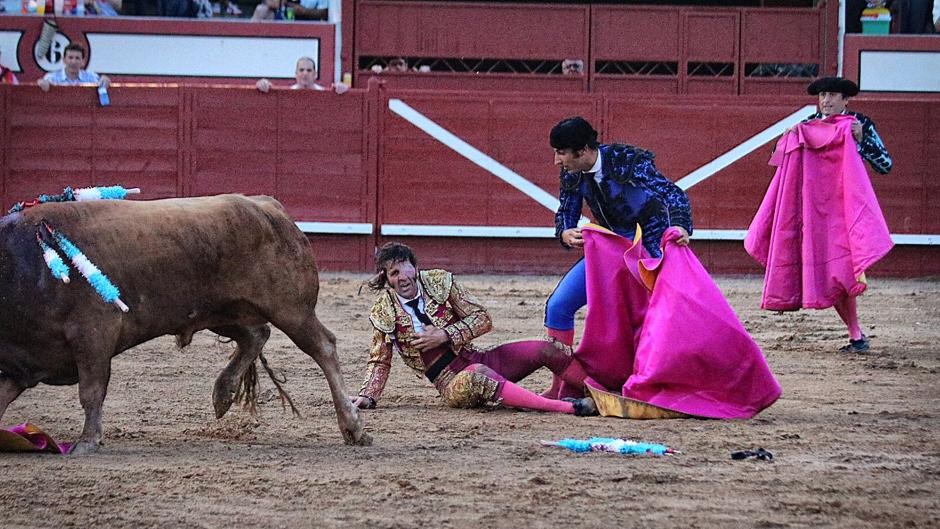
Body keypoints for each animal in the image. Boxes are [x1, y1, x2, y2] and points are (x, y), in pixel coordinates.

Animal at [0, 194, 370, 454]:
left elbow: (91, 391)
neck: (23, 265)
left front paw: (87, 442)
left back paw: (352, 426)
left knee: (322, 347)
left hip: (291, 310)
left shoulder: (93, 335)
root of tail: (269, 207)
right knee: (255, 335)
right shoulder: (19, 364)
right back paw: (223, 394)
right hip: (222, 311)